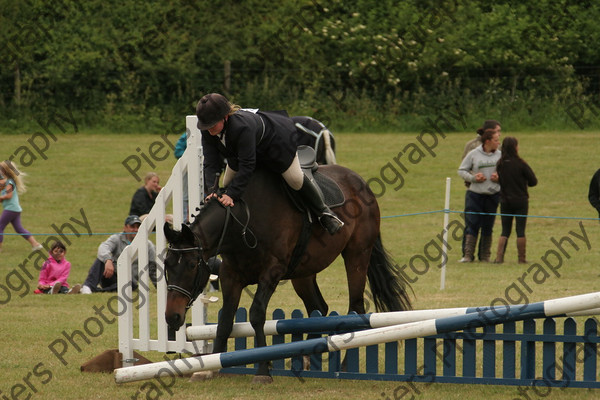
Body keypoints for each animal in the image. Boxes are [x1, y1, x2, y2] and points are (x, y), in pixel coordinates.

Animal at [164, 165, 412, 382]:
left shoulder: (271, 272)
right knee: (318, 309)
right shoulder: (230, 276)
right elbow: (225, 320)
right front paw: (210, 367)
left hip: (357, 255)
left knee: (356, 308)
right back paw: (305, 359)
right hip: (303, 272)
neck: (243, 222)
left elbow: (256, 314)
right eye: (166, 264)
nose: (172, 317)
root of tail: (359, 181)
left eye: (192, 265)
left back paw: (343, 367)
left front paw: (263, 370)